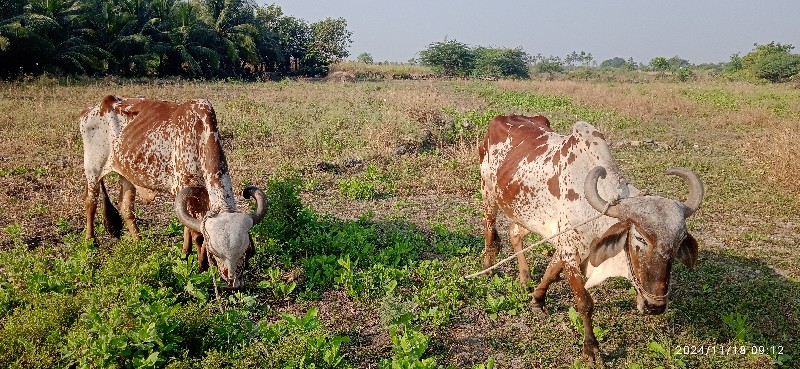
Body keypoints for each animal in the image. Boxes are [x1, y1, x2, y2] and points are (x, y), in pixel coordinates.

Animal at [81, 95, 268, 288]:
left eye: (245, 251)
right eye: (216, 253)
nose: (233, 282)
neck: (199, 134)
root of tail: (94, 108)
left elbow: (189, 226)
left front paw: (185, 254)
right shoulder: (187, 189)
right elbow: (197, 234)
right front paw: (201, 267)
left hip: (127, 175)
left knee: (125, 208)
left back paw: (140, 243)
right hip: (92, 170)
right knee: (90, 202)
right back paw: (90, 240)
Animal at [478, 114, 704, 360]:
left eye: (677, 244)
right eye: (640, 239)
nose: (655, 306)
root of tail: (501, 118)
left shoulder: (565, 241)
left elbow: (551, 272)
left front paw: (537, 300)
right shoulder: (570, 250)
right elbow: (584, 301)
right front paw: (591, 347)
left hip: (525, 213)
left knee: (514, 233)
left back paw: (525, 277)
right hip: (488, 194)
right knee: (489, 230)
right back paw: (488, 269)